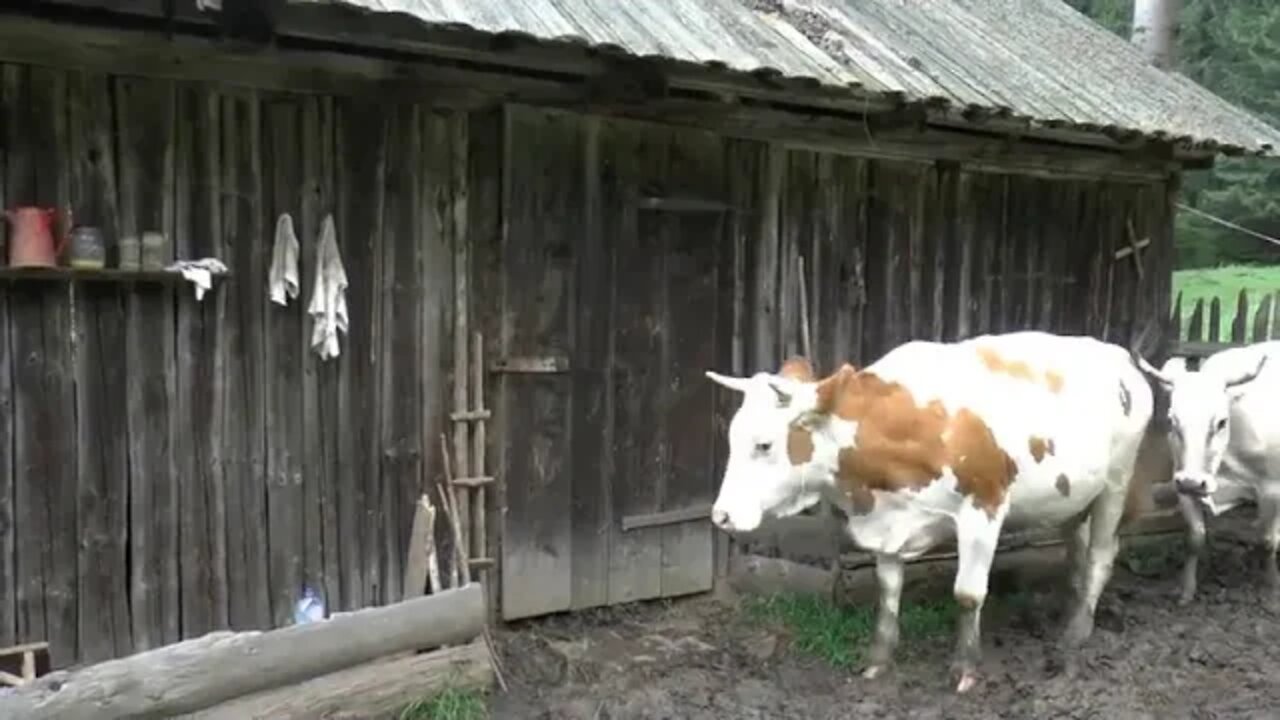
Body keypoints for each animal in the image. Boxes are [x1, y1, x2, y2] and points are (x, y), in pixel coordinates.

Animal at [706, 330, 1167, 691]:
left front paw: (965, 668)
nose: (721, 515)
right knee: (1078, 548)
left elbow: (967, 593)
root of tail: (1117, 354)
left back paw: (1077, 631)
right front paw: (879, 660)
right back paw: (1068, 608)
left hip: (1116, 482)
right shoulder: (888, 524)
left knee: (1101, 554)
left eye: (764, 444)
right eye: (730, 436)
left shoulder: (984, 509)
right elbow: (888, 590)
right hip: (1075, 495)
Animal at [1136, 340, 1274, 599]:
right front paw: (1187, 591)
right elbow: (1195, 538)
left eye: (1221, 422)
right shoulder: (1183, 482)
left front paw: (1273, 588)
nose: (1193, 482)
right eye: (1172, 420)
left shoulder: (1272, 490)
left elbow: (1269, 540)